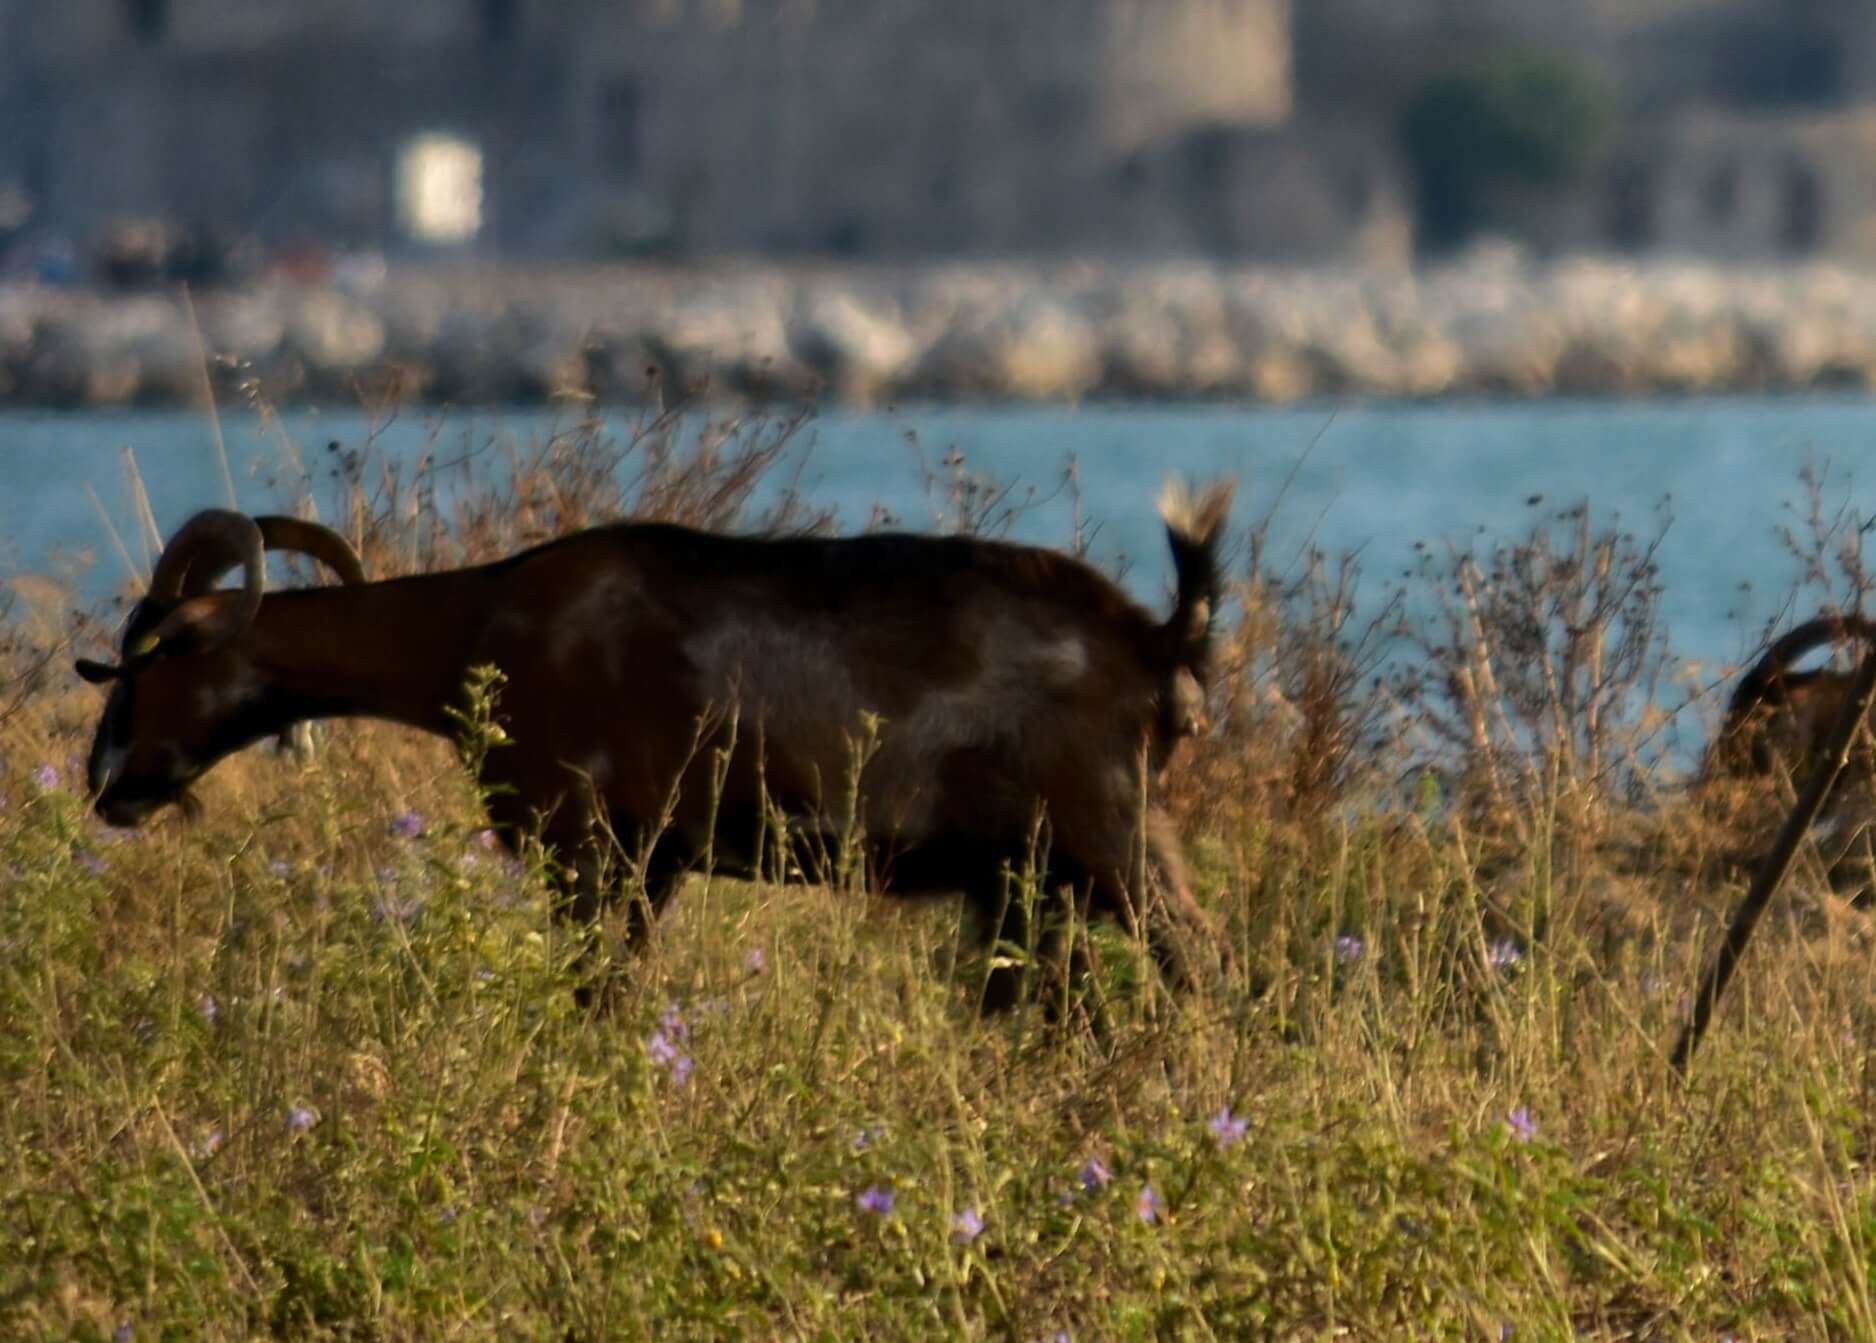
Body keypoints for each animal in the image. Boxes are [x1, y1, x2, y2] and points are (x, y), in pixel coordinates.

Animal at [80, 483, 1238, 1005]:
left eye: (143, 661)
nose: (105, 785)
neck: (479, 624)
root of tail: (1152, 639)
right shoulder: (657, 857)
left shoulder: (583, 840)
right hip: (1025, 875)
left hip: (1113, 835)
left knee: (1204, 959)